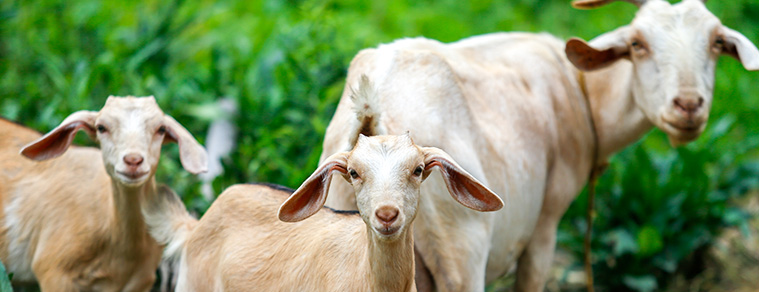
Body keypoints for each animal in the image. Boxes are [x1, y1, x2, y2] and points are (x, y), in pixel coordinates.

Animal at [320, 0, 759, 292]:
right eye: (638, 44)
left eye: (717, 44)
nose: (688, 105)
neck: (582, 91)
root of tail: (373, 102)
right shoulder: (545, 224)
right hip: (461, 246)